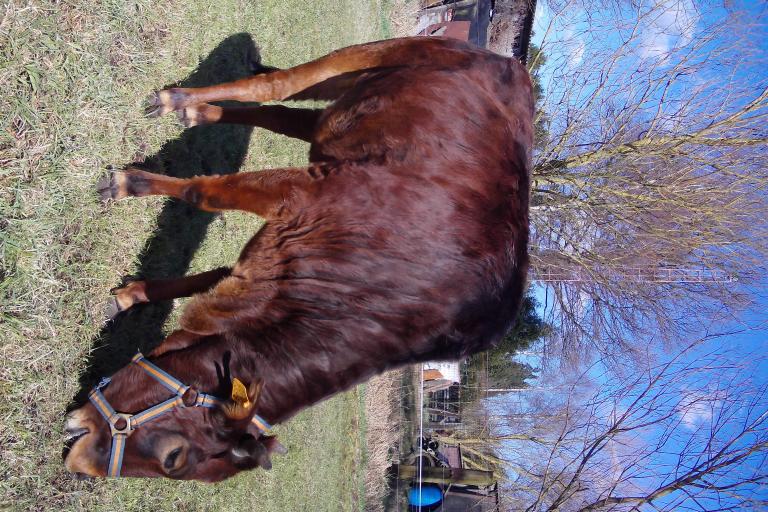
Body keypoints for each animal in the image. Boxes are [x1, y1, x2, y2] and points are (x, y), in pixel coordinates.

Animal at [64, 36, 536, 480]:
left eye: (173, 460)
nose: (80, 461)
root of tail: (507, 62)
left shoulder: (274, 266)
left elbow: (210, 275)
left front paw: (131, 295)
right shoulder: (300, 195)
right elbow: (202, 192)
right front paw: (130, 184)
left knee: (277, 115)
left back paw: (200, 113)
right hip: (361, 59)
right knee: (272, 87)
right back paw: (178, 99)